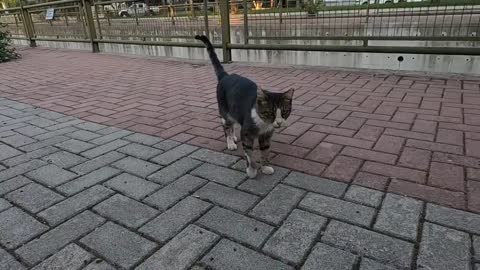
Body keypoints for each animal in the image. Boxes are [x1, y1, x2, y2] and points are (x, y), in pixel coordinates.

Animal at [194, 35, 292, 179]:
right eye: (270, 112)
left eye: (284, 112)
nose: (279, 123)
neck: (263, 124)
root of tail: (225, 76)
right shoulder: (246, 134)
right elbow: (249, 154)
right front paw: (251, 171)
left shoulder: (266, 136)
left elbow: (265, 152)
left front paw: (265, 167)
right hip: (225, 112)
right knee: (226, 126)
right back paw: (230, 142)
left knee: (232, 125)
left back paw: (234, 137)